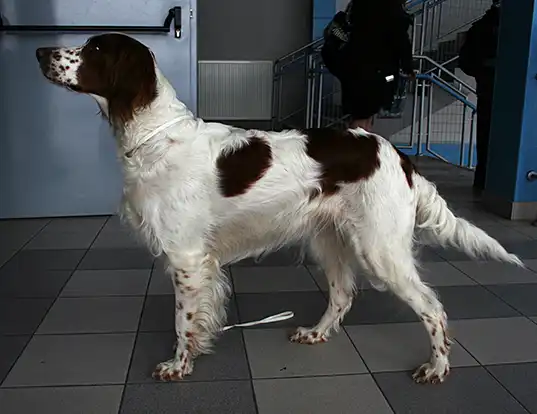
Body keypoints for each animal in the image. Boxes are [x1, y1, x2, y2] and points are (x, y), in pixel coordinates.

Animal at [35, 33, 520, 384]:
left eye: (94, 48)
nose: (40, 51)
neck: (155, 137)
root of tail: (398, 155)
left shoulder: (187, 258)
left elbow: (182, 321)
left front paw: (178, 366)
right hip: (330, 241)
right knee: (343, 294)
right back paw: (317, 333)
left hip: (380, 250)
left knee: (432, 308)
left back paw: (437, 368)